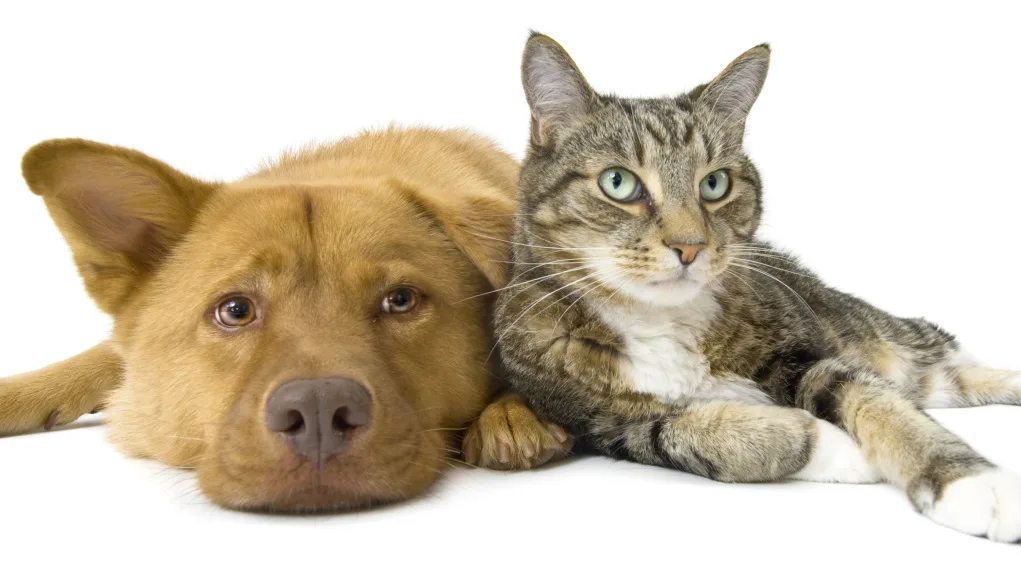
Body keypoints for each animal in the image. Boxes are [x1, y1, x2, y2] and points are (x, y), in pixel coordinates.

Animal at [496, 32, 1021, 543]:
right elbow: (694, 435)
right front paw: (834, 446)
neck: (660, 322)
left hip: (883, 335)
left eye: (715, 184)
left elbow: (873, 400)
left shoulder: (804, 354)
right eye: (618, 182)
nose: (689, 246)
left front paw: (965, 479)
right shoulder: (597, 421)